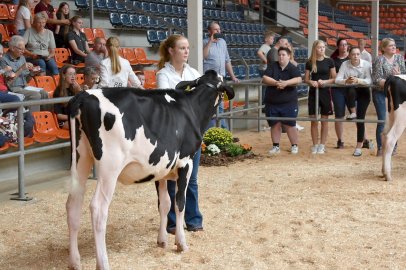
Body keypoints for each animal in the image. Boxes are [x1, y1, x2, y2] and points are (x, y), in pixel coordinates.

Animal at [66, 70, 235, 268]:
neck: (192, 108)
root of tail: (84, 95)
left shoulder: (160, 167)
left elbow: (164, 204)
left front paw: (162, 241)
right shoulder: (186, 162)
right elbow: (179, 203)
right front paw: (181, 243)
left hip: (80, 159)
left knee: (73, 206)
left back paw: (74, 261)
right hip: (110, 167)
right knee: (98, 209)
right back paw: (103, 263)